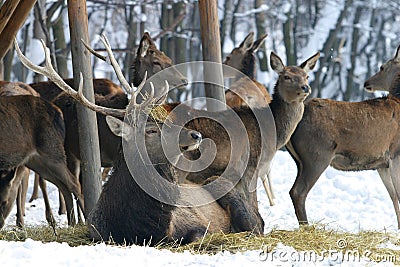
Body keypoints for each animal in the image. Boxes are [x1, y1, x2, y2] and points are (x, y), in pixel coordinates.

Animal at [286, 43, 400, 229]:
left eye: (382, 67)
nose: (367, 83)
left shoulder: (382, 164)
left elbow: (393, 196)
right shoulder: (395, 153)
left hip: (300, 160)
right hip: (317, 156)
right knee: (298, 191)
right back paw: (307, 227)